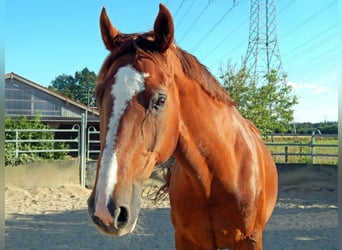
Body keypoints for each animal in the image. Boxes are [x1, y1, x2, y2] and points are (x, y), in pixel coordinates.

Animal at [88, 4, 278, 250]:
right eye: (98, 94)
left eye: (160, 100)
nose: (105, 208)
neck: (214, 179)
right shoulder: (185, 239)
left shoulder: (251, 240)